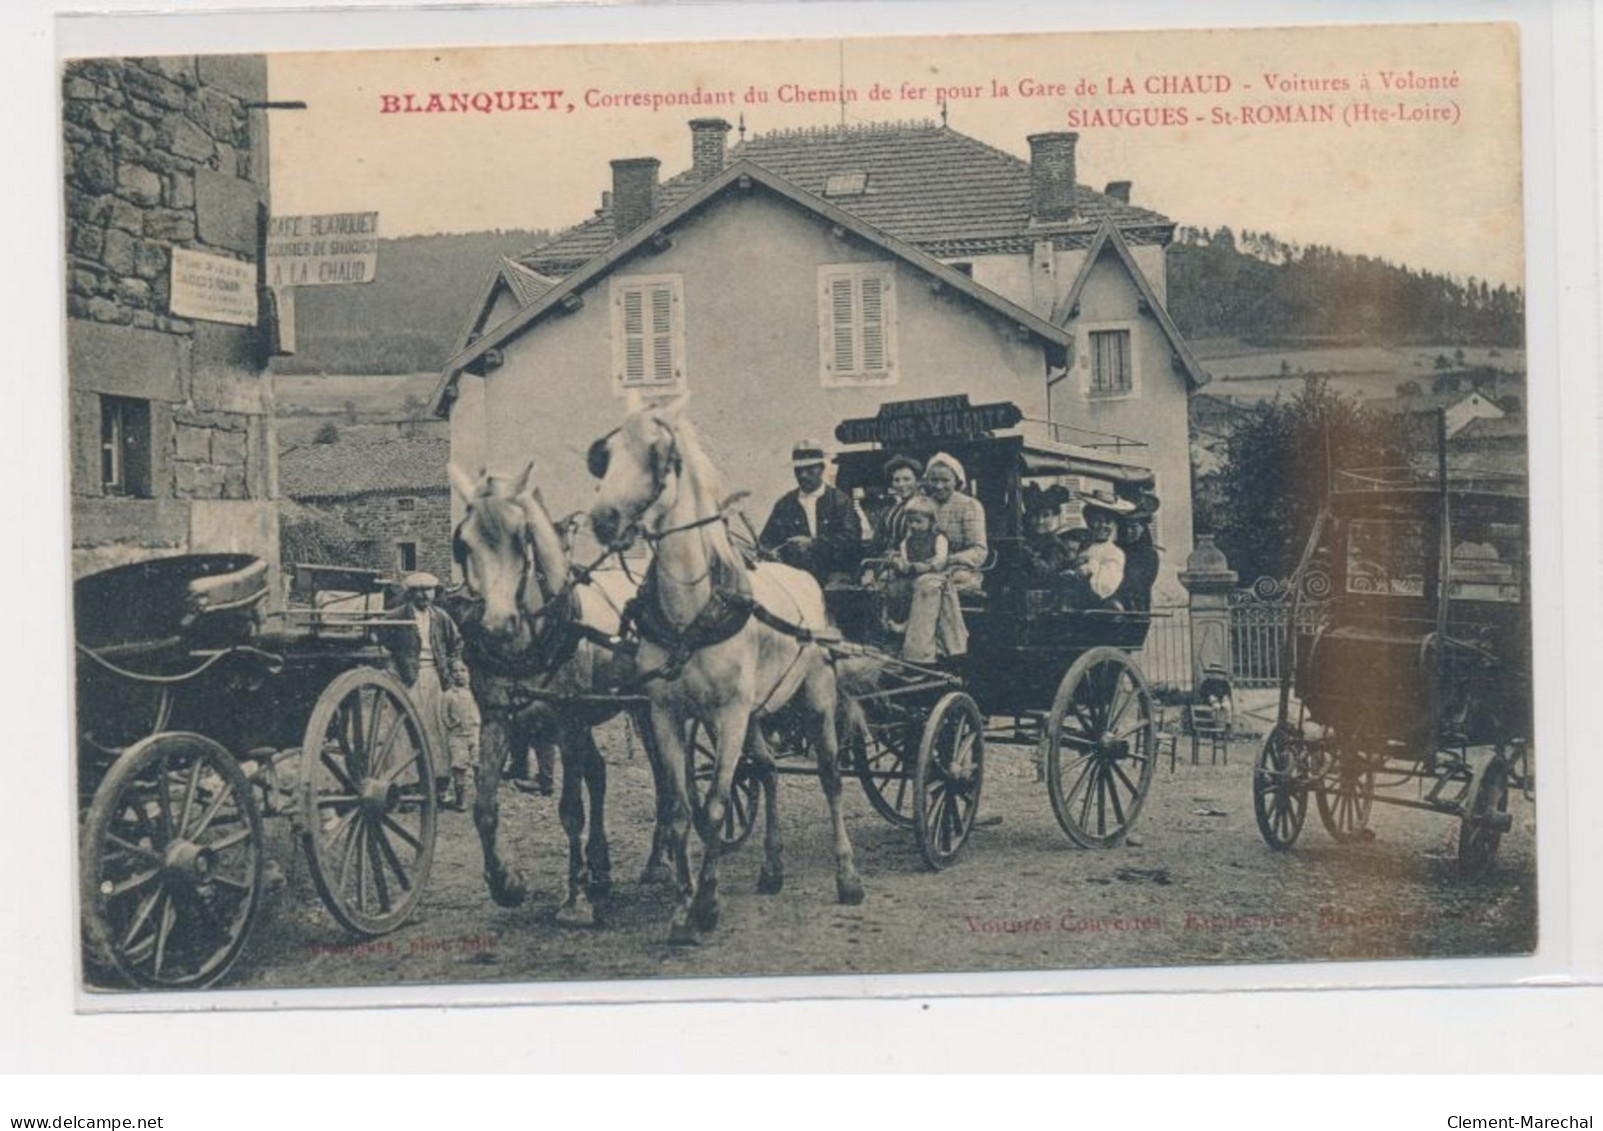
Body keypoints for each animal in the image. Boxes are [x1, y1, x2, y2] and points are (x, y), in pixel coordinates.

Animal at [589, 397, 865, 941]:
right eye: (604, 456)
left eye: (659, 456)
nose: (604, 519)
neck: (690, 613)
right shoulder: (667, 715)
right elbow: (679, 808)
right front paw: (680, 911)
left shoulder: (729, 715)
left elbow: (716, 805)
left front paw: (706, 904)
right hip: (757, 713)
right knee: (768, 771)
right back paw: (772, 869)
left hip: (816, 698)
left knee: (830, 778)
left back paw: (847, 876)